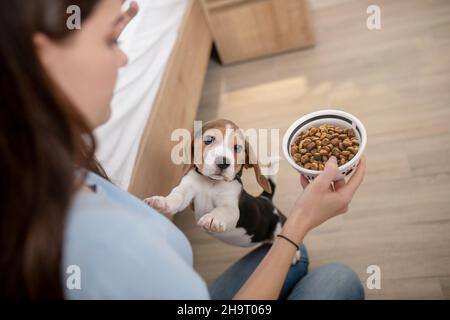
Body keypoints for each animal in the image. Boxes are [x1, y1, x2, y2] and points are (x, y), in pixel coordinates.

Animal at [144, 119, 298, 262]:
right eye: (209, 140)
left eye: (237, 148)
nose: (223, 162)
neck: (211, 183)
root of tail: (265, 199)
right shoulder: (187, 187)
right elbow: (177, 196)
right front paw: (162, 202)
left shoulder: (231, 205)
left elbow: (223, 210)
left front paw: (213, 219)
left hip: (279, 225)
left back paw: (294, 254)